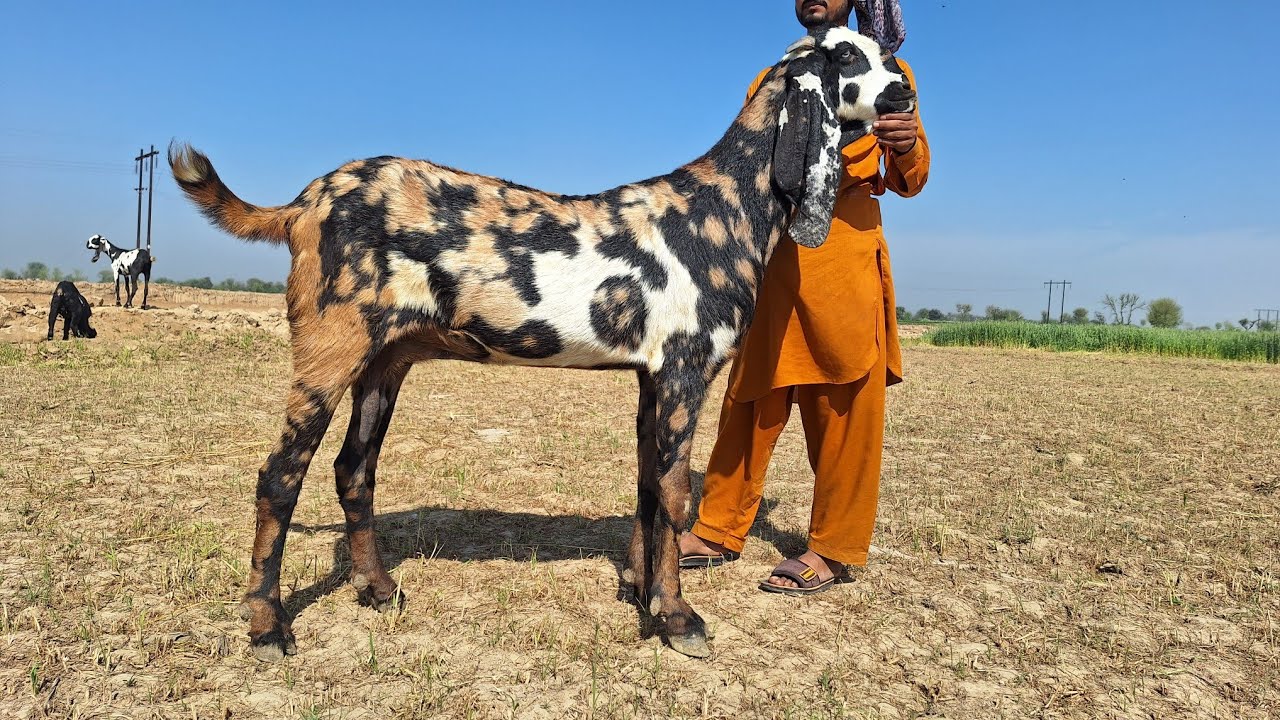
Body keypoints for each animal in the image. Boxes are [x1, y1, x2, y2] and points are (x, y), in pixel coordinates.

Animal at [171, 25, 914, 662]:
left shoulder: (650, 378)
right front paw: (678, 618)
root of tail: (302, 203)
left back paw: (377, 589)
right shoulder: (684, 369)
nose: (904, 93)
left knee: (354, 469)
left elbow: (648, 487)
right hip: (330, 349)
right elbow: (676, 496)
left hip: (384, 363)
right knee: (279, 477)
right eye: (848, 56)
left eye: (883, 51)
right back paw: (268, 625)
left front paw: (640, 592)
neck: (720, 206)